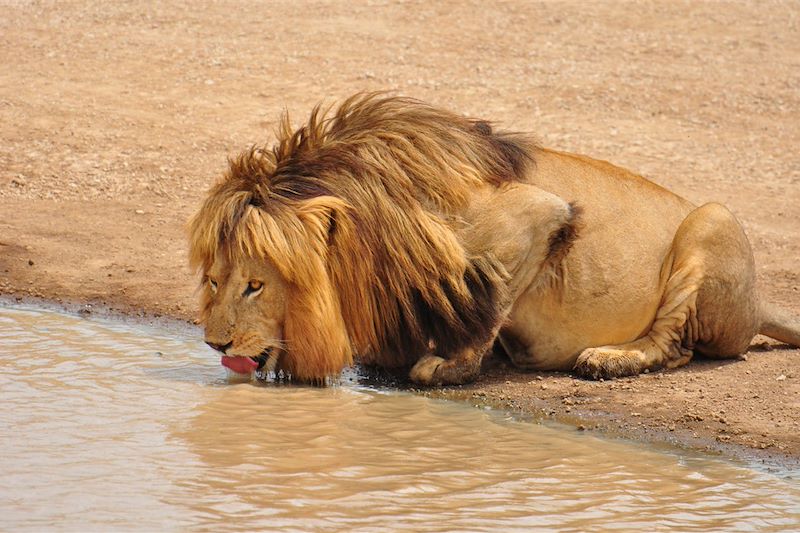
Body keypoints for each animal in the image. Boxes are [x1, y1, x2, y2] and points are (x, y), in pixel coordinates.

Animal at [189, 94, 800, 382]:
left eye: (255, 286)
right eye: (215, 282)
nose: (215, 346)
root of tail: (759, 303)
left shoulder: (539, 215)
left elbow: (489, 302)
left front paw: (448, 368)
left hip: (712, 219)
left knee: (674, 346)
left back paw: (609, 359)